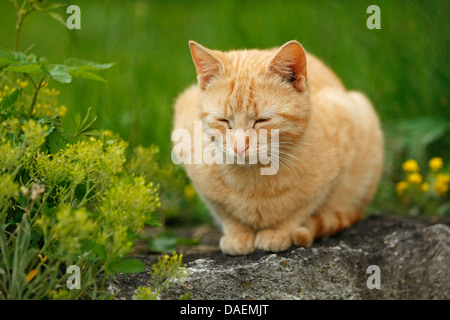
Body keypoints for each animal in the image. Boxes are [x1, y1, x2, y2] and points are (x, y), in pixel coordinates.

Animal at [172, 40, 384, 255]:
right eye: (223, 121)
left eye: (262, 120)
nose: (239, 147)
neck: (255, 180)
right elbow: (226, 214)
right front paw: (238, 235)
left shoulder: (334, 165)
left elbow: (299, 210)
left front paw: (277, 232)